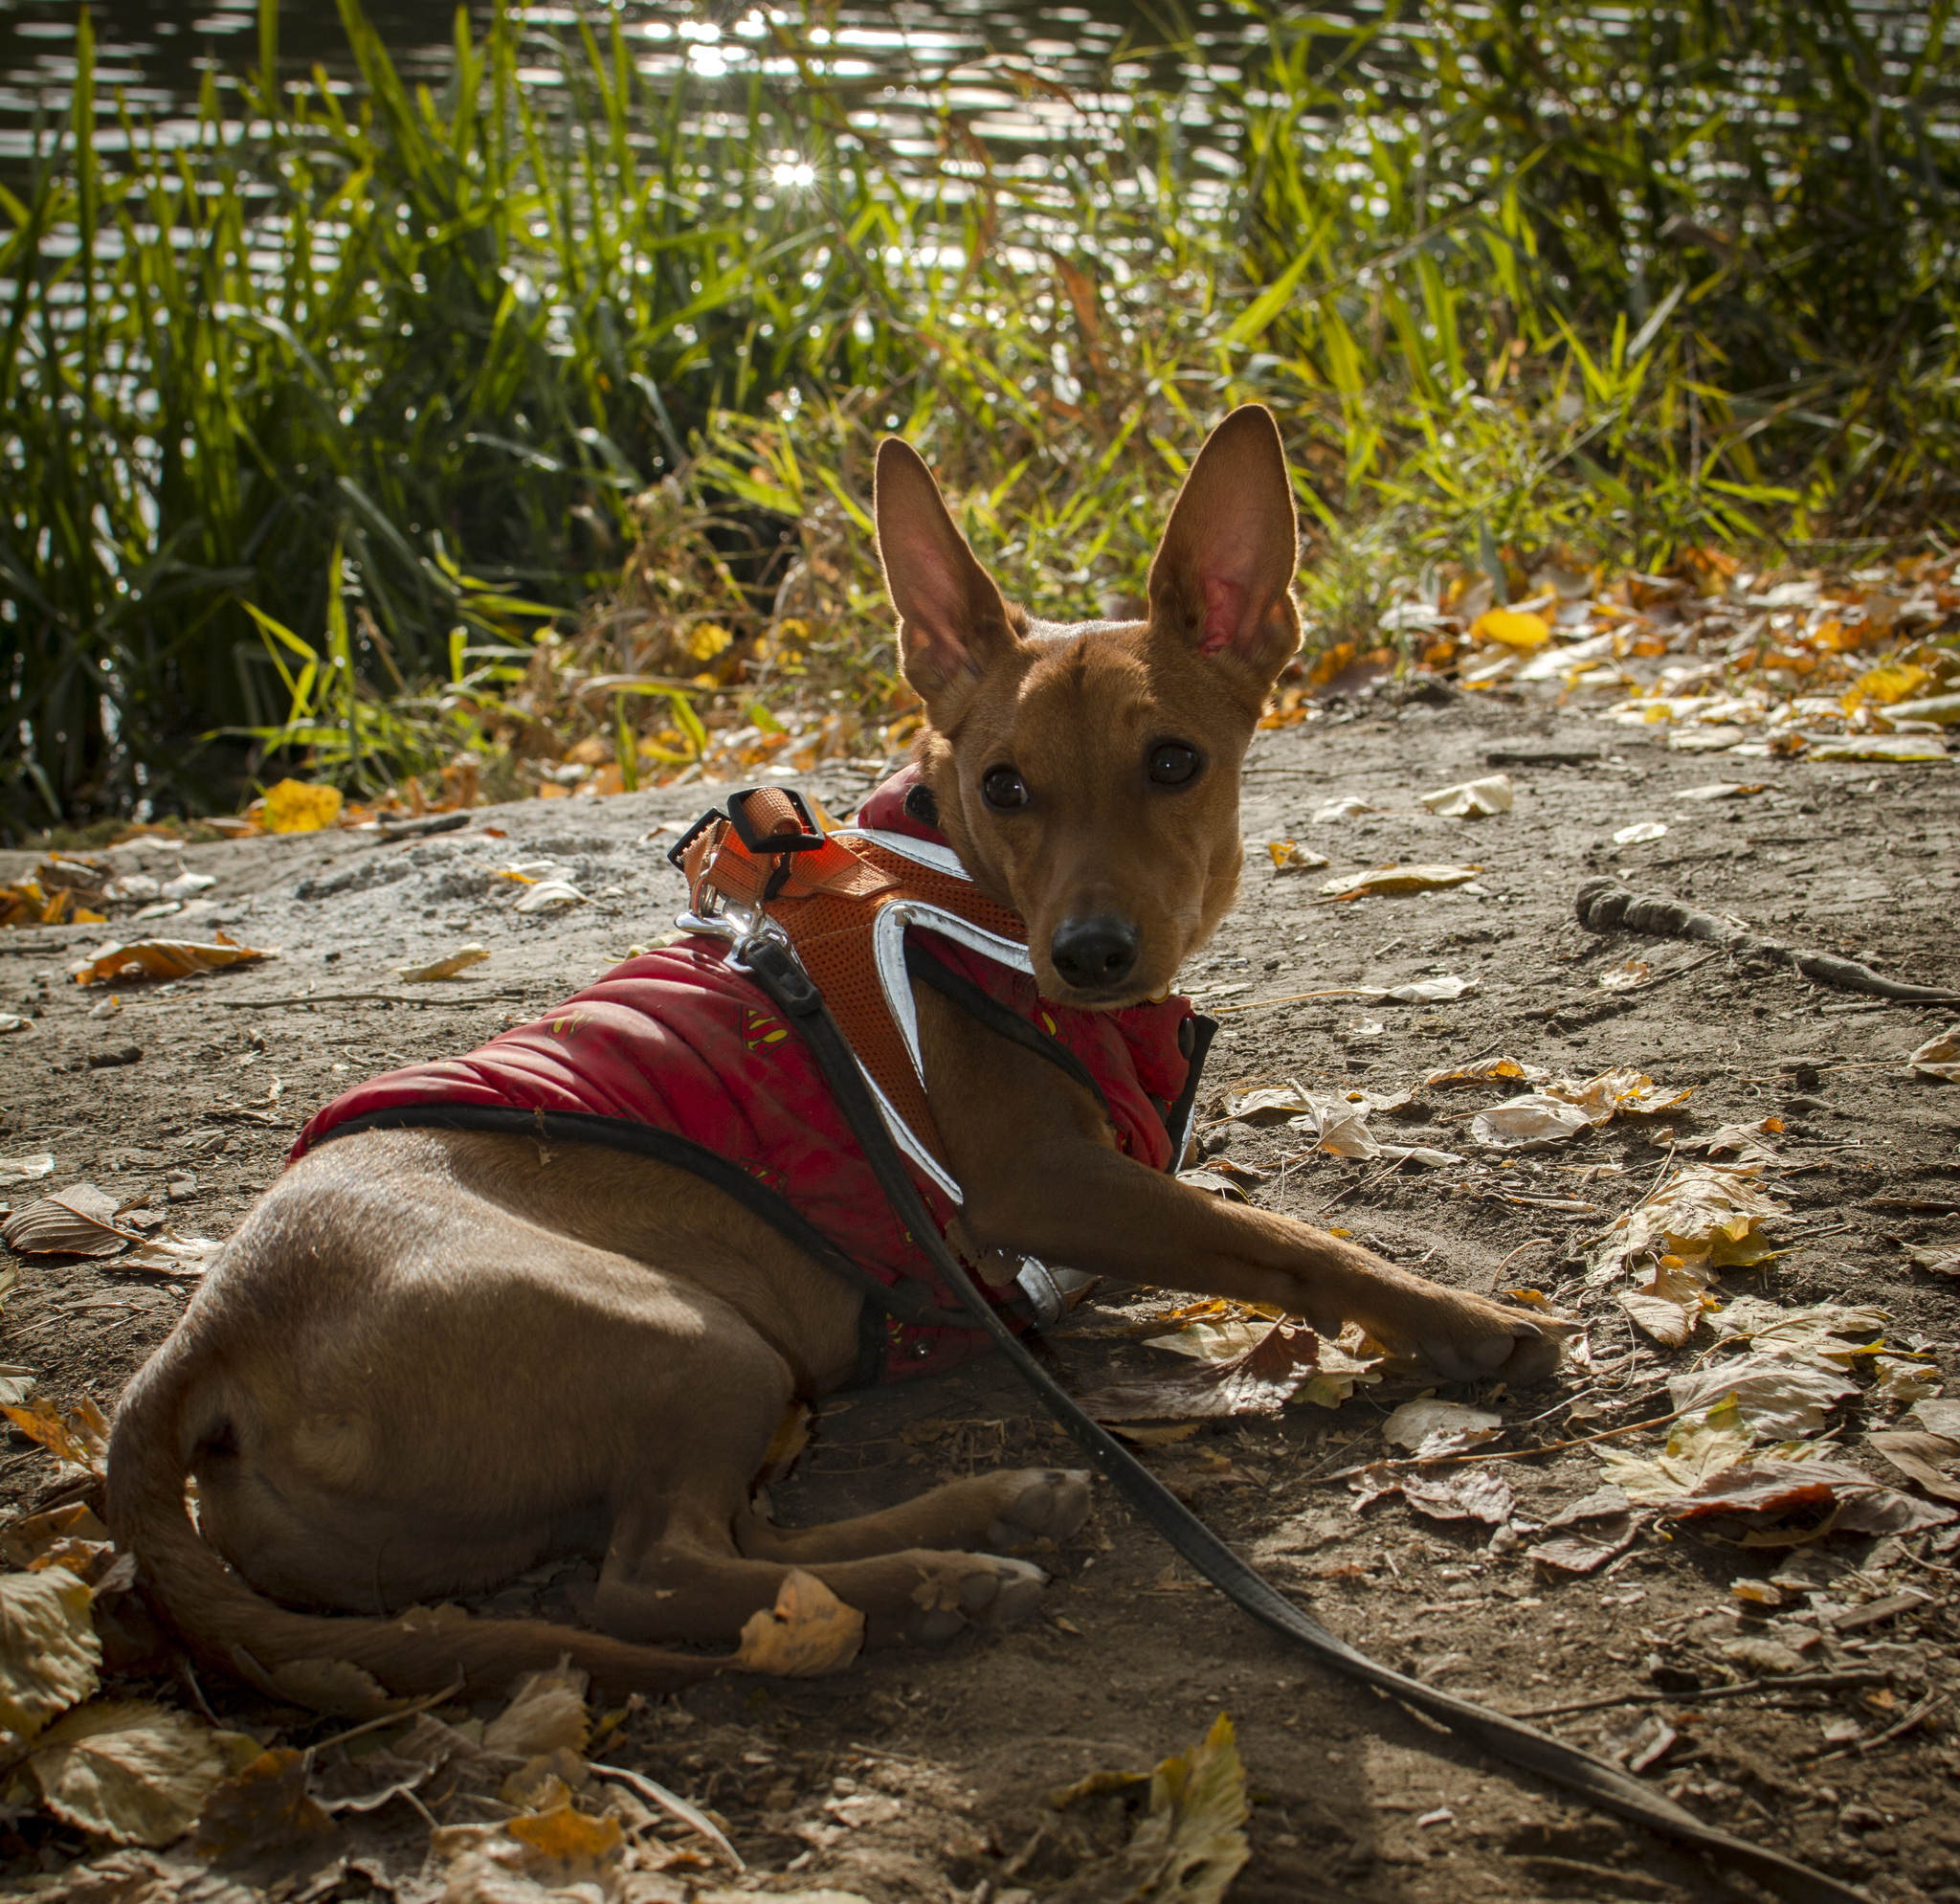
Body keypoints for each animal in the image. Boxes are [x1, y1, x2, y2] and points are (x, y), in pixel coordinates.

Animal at [107, 401, 1560, 1693]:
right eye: (1005, 786)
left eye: (1173, 761)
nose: (1090, 953)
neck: (959, 893)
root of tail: (203, 1340)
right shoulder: (1045, 1183)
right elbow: (1290, 1240)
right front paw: (1459, 1322)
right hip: (695, 1342)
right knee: (656, 1577)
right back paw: (940, 1583)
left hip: (746, 1389)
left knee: (744, 1547)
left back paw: (986, 1515)